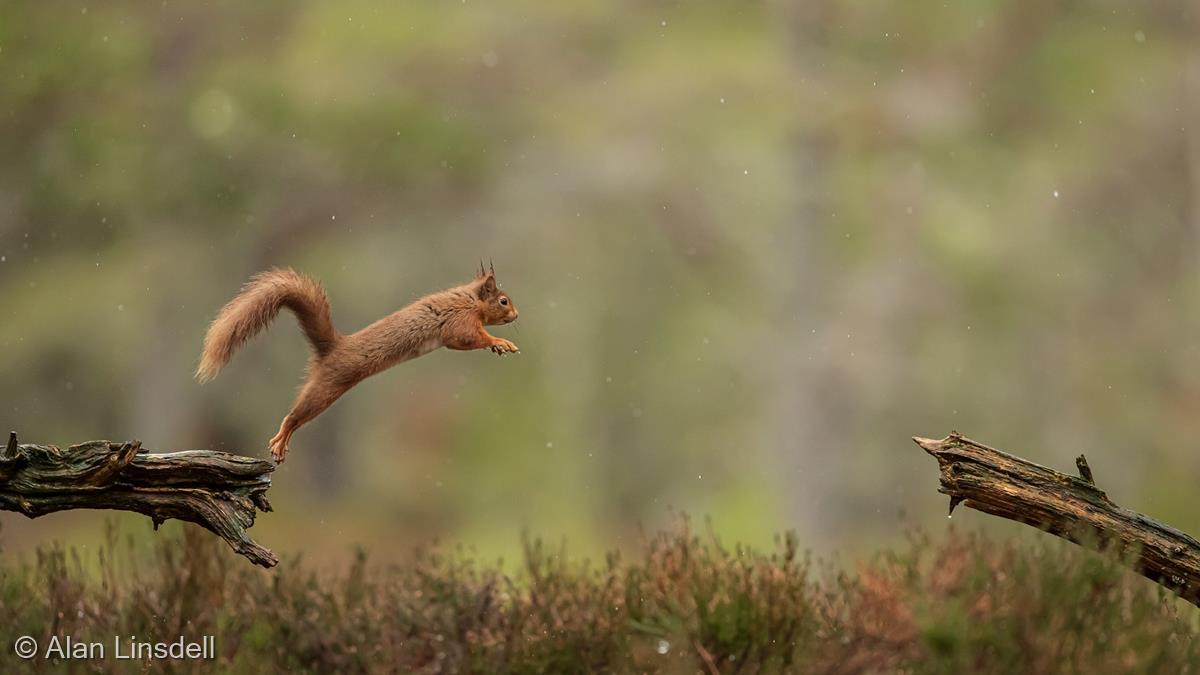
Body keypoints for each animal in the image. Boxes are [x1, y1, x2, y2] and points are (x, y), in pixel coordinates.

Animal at [194, 263, 518, 461]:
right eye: (503, 301)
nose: (516, 315)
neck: (469, 300)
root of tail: (334, 346)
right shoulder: (459, 321)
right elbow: (466, 338)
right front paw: (501, 342)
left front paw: (499, 346)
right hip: (328, 386)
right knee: (295, 416)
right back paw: (281, 439)